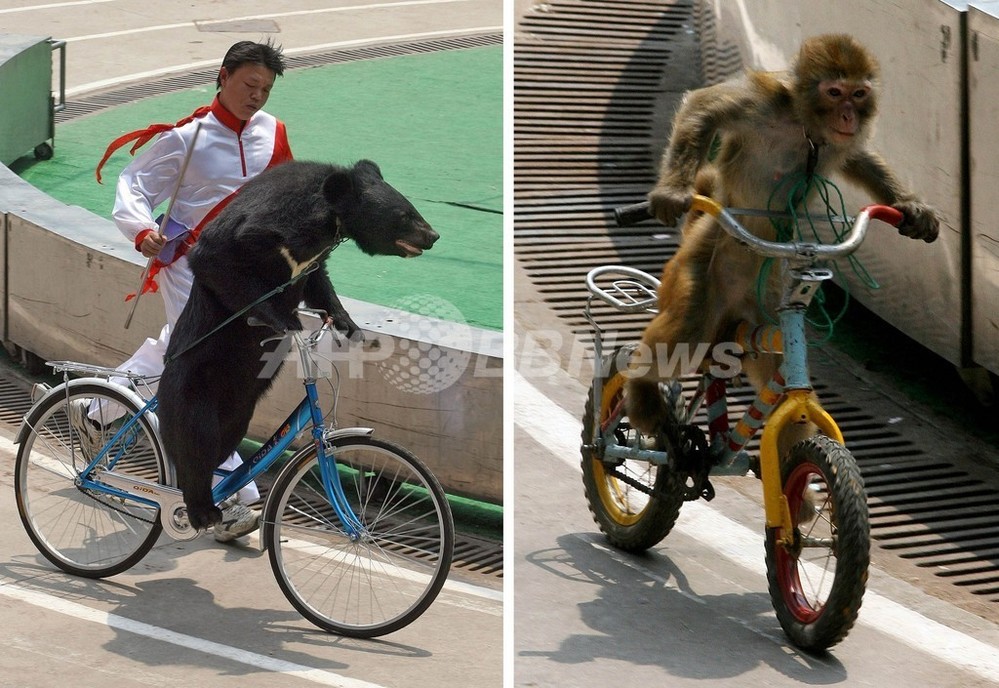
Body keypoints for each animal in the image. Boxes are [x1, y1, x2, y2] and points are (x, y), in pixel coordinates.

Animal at [156, 159, 438, 528]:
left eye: (411, 208)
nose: (433, 235)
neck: (327, 216)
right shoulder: (259, 229)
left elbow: (319, 281)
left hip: (237, 405)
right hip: (194, 385)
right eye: (404, 215)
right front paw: (286, 322)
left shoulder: (314, 259)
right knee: (196, 440)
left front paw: (350, 327)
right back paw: (202, 510)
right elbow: (213, 257)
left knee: (222, 439)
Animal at [628, 35, 940, 452]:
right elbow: (704, 106)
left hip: (761, 308)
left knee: (773, 369)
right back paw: (639, 389)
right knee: (682, 336)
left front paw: (910, 206)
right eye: (835, 92)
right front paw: (672, 191)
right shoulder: (764, 101)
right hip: (700, 258)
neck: (804, 125)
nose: (849, 117)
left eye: (859, 94)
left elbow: (859, 157)